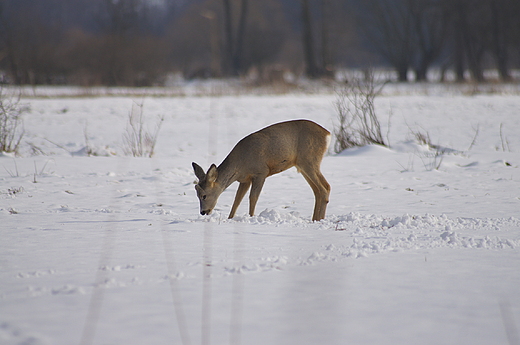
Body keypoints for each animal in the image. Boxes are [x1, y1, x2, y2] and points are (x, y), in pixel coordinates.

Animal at [193, 118, 332, 220]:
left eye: (204, 195)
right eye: (197, 194)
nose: (203, 212)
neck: (241, 162)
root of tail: (328, 134)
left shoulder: (261, 172)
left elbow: (253, 197)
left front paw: (251, 217)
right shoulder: (245, 179)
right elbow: (237, 199)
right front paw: (230, 218)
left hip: (309, 160)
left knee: (325, 187)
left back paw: (319, 219)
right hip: (302, 166)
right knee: (317, 190)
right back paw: (315, 219)